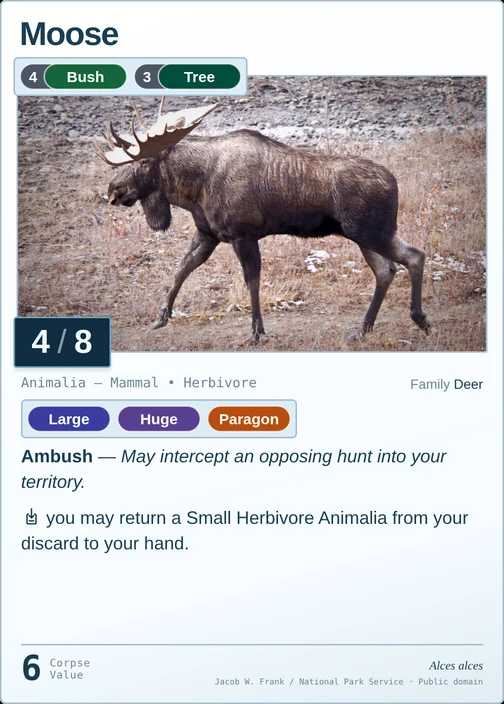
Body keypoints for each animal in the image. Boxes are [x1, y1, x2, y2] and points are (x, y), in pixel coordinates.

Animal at [96, 102, 430, 341]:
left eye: (142, 162)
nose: (114, 191)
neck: (192, 189)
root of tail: (394, 183)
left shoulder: (242, 234)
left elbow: (252, 281)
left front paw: (256, 332)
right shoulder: (207, 235)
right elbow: (181, 271)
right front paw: (159, 318)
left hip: (372, 231)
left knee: (414, 256)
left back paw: (419, 319)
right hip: (363, 235)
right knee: (387, 270)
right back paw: (363, 329)